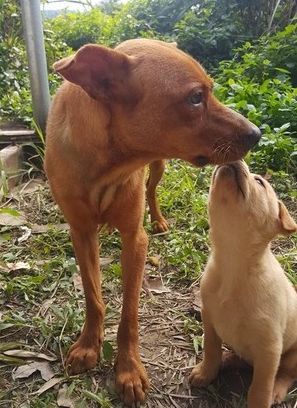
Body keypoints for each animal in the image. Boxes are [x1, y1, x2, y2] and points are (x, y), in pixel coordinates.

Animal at [44, 39, 260, 404]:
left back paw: (159, 221)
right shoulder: (81, 233)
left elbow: (129, 313)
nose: (257, 133)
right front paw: (88, 345)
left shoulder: (135, 239)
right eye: (195, 97)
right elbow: (93, 295)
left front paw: (128, 370)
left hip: (159, 167)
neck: (107, 164)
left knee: (151, 191)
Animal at [190, 160, 296, 408]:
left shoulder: (269, 348)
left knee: (287, 373)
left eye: (260, 182)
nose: (234, 159)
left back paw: (277, 390)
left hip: (293, 354)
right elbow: (211, 350)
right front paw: (206, 372)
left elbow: (260, 386)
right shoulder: (209, 319)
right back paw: (228, 359)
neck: (233, 263)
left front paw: (261, 399)